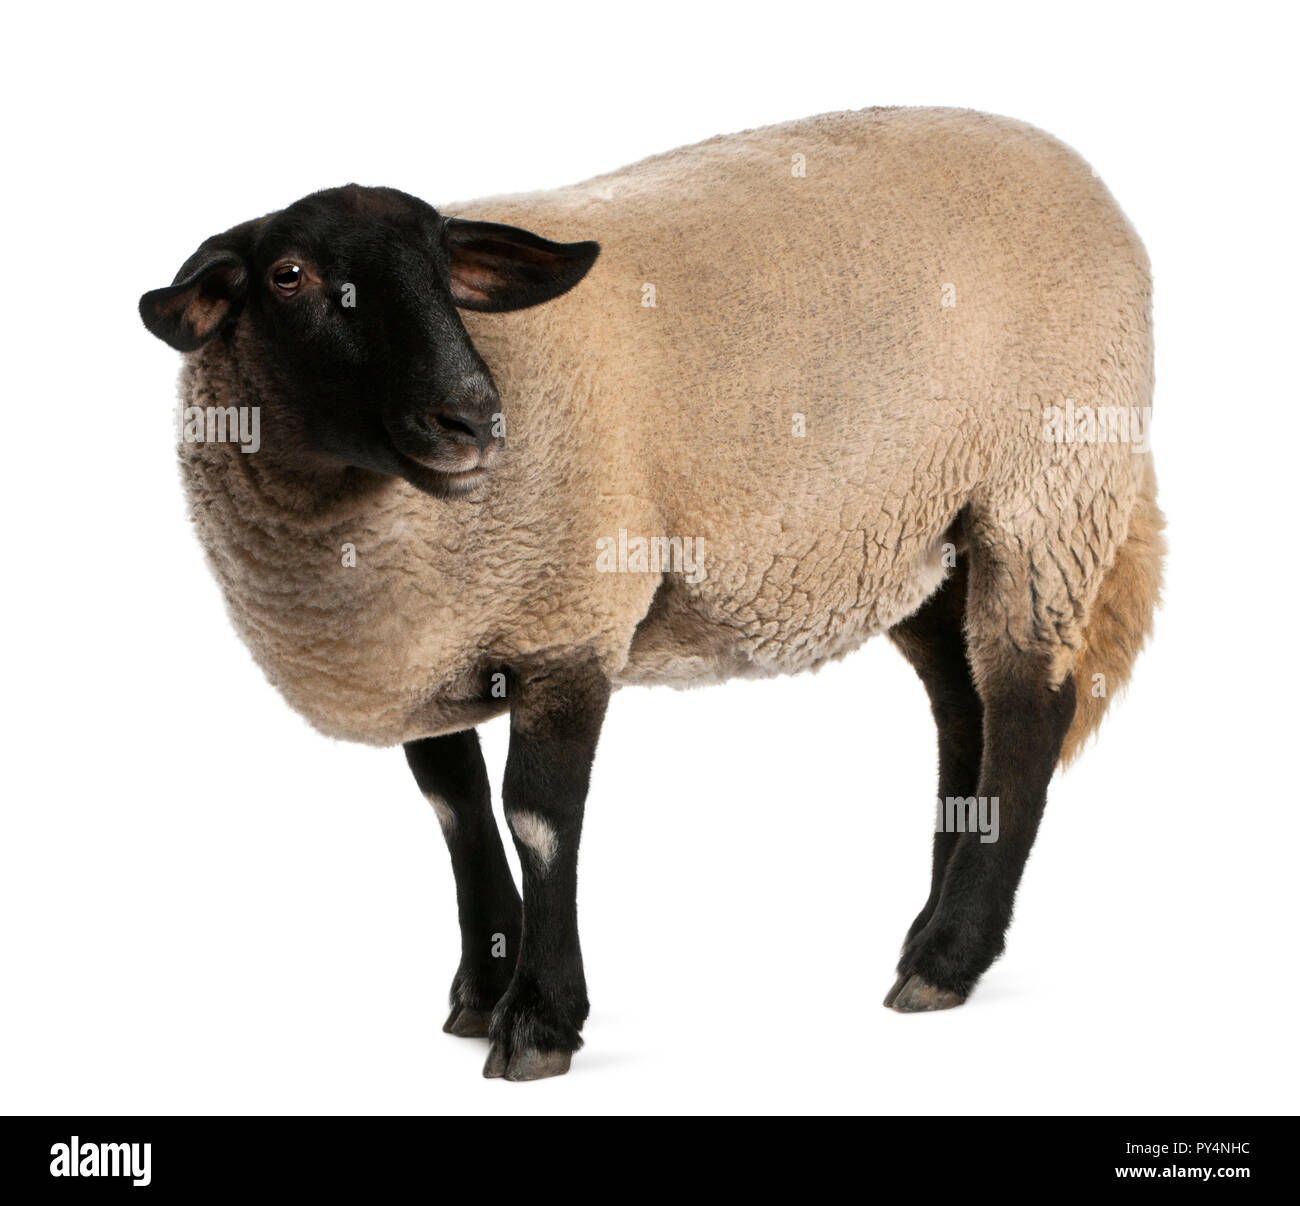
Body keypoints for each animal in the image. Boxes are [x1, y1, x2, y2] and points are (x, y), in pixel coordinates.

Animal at [142, 108, 1170, 1081]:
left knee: (1027, 707)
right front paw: (481, 989)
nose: (472, 417)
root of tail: (1072, 165)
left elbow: (538, 820)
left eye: (444, 269)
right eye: (289, 277)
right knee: (964, 707)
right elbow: (457, 810)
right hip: (913, 528)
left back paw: (948, 957)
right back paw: (927, 924)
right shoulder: (424, 647)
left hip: (1046, 491)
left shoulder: (565, 621)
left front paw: (539, 1021)